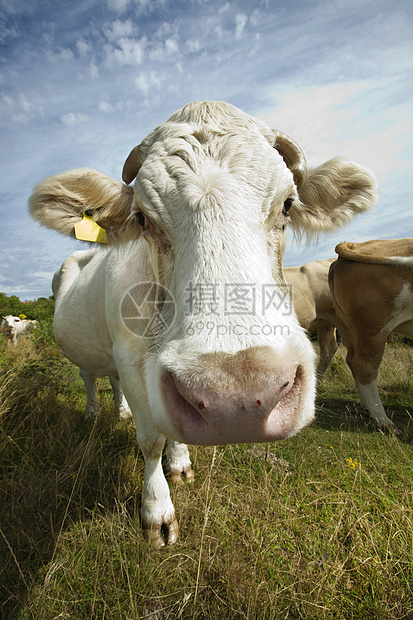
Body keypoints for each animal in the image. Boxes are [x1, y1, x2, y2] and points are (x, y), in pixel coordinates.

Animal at [29, 99, 376, 544]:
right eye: (142, 218)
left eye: (287, 204)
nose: (236, 401)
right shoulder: (131, 357)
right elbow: (150, 438)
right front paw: (157, 511)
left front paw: (179, 464)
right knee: (90, 376)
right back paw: (92, 412)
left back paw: (119, 411)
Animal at [328, 237, 412, 432]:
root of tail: (351, 244)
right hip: (374, 329)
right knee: (365, 366)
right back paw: (383, 421)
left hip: (352, 329)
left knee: (352, 360)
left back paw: (368, 409)